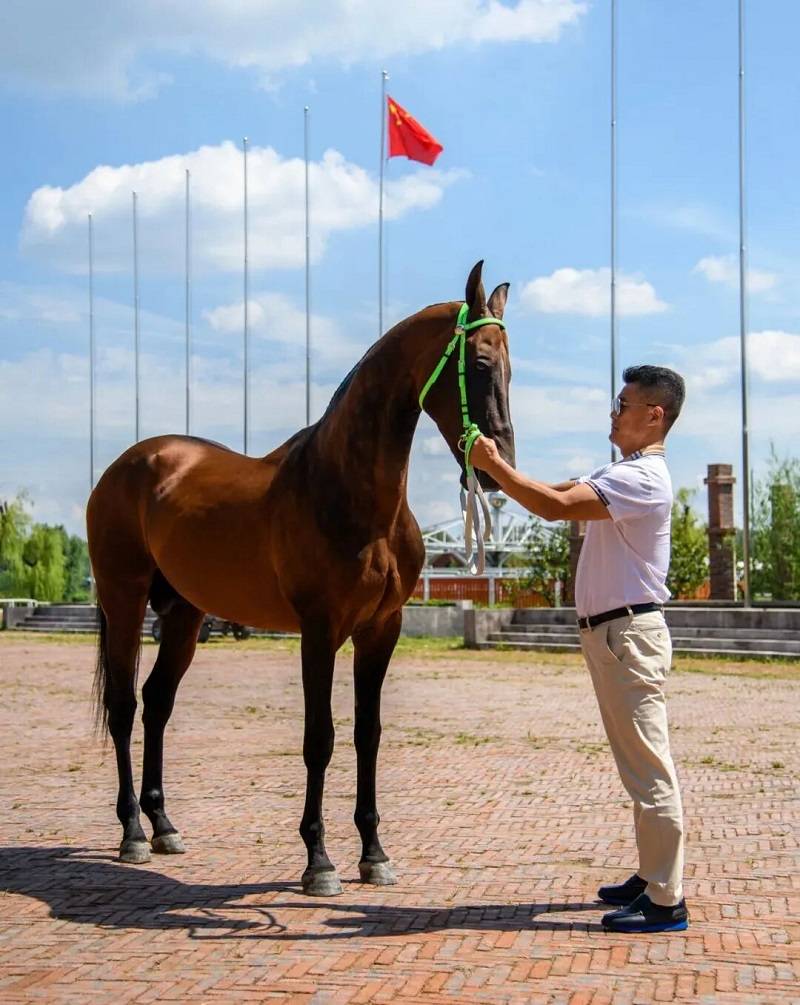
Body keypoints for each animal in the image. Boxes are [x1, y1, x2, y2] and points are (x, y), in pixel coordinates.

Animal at [85, 259, 512, 896]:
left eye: (511, 367)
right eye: (481, 364)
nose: (494, 470)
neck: (348, 494)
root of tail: (129, 465)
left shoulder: (380, 630)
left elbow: (367, 733)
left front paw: (374, 854)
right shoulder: (319, 630)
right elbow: (320, 739)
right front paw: (319, 861)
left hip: (184, 613)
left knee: (158, 702)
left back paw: (164, 827)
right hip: (124, 600)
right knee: (123, 706)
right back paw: (133, 833)